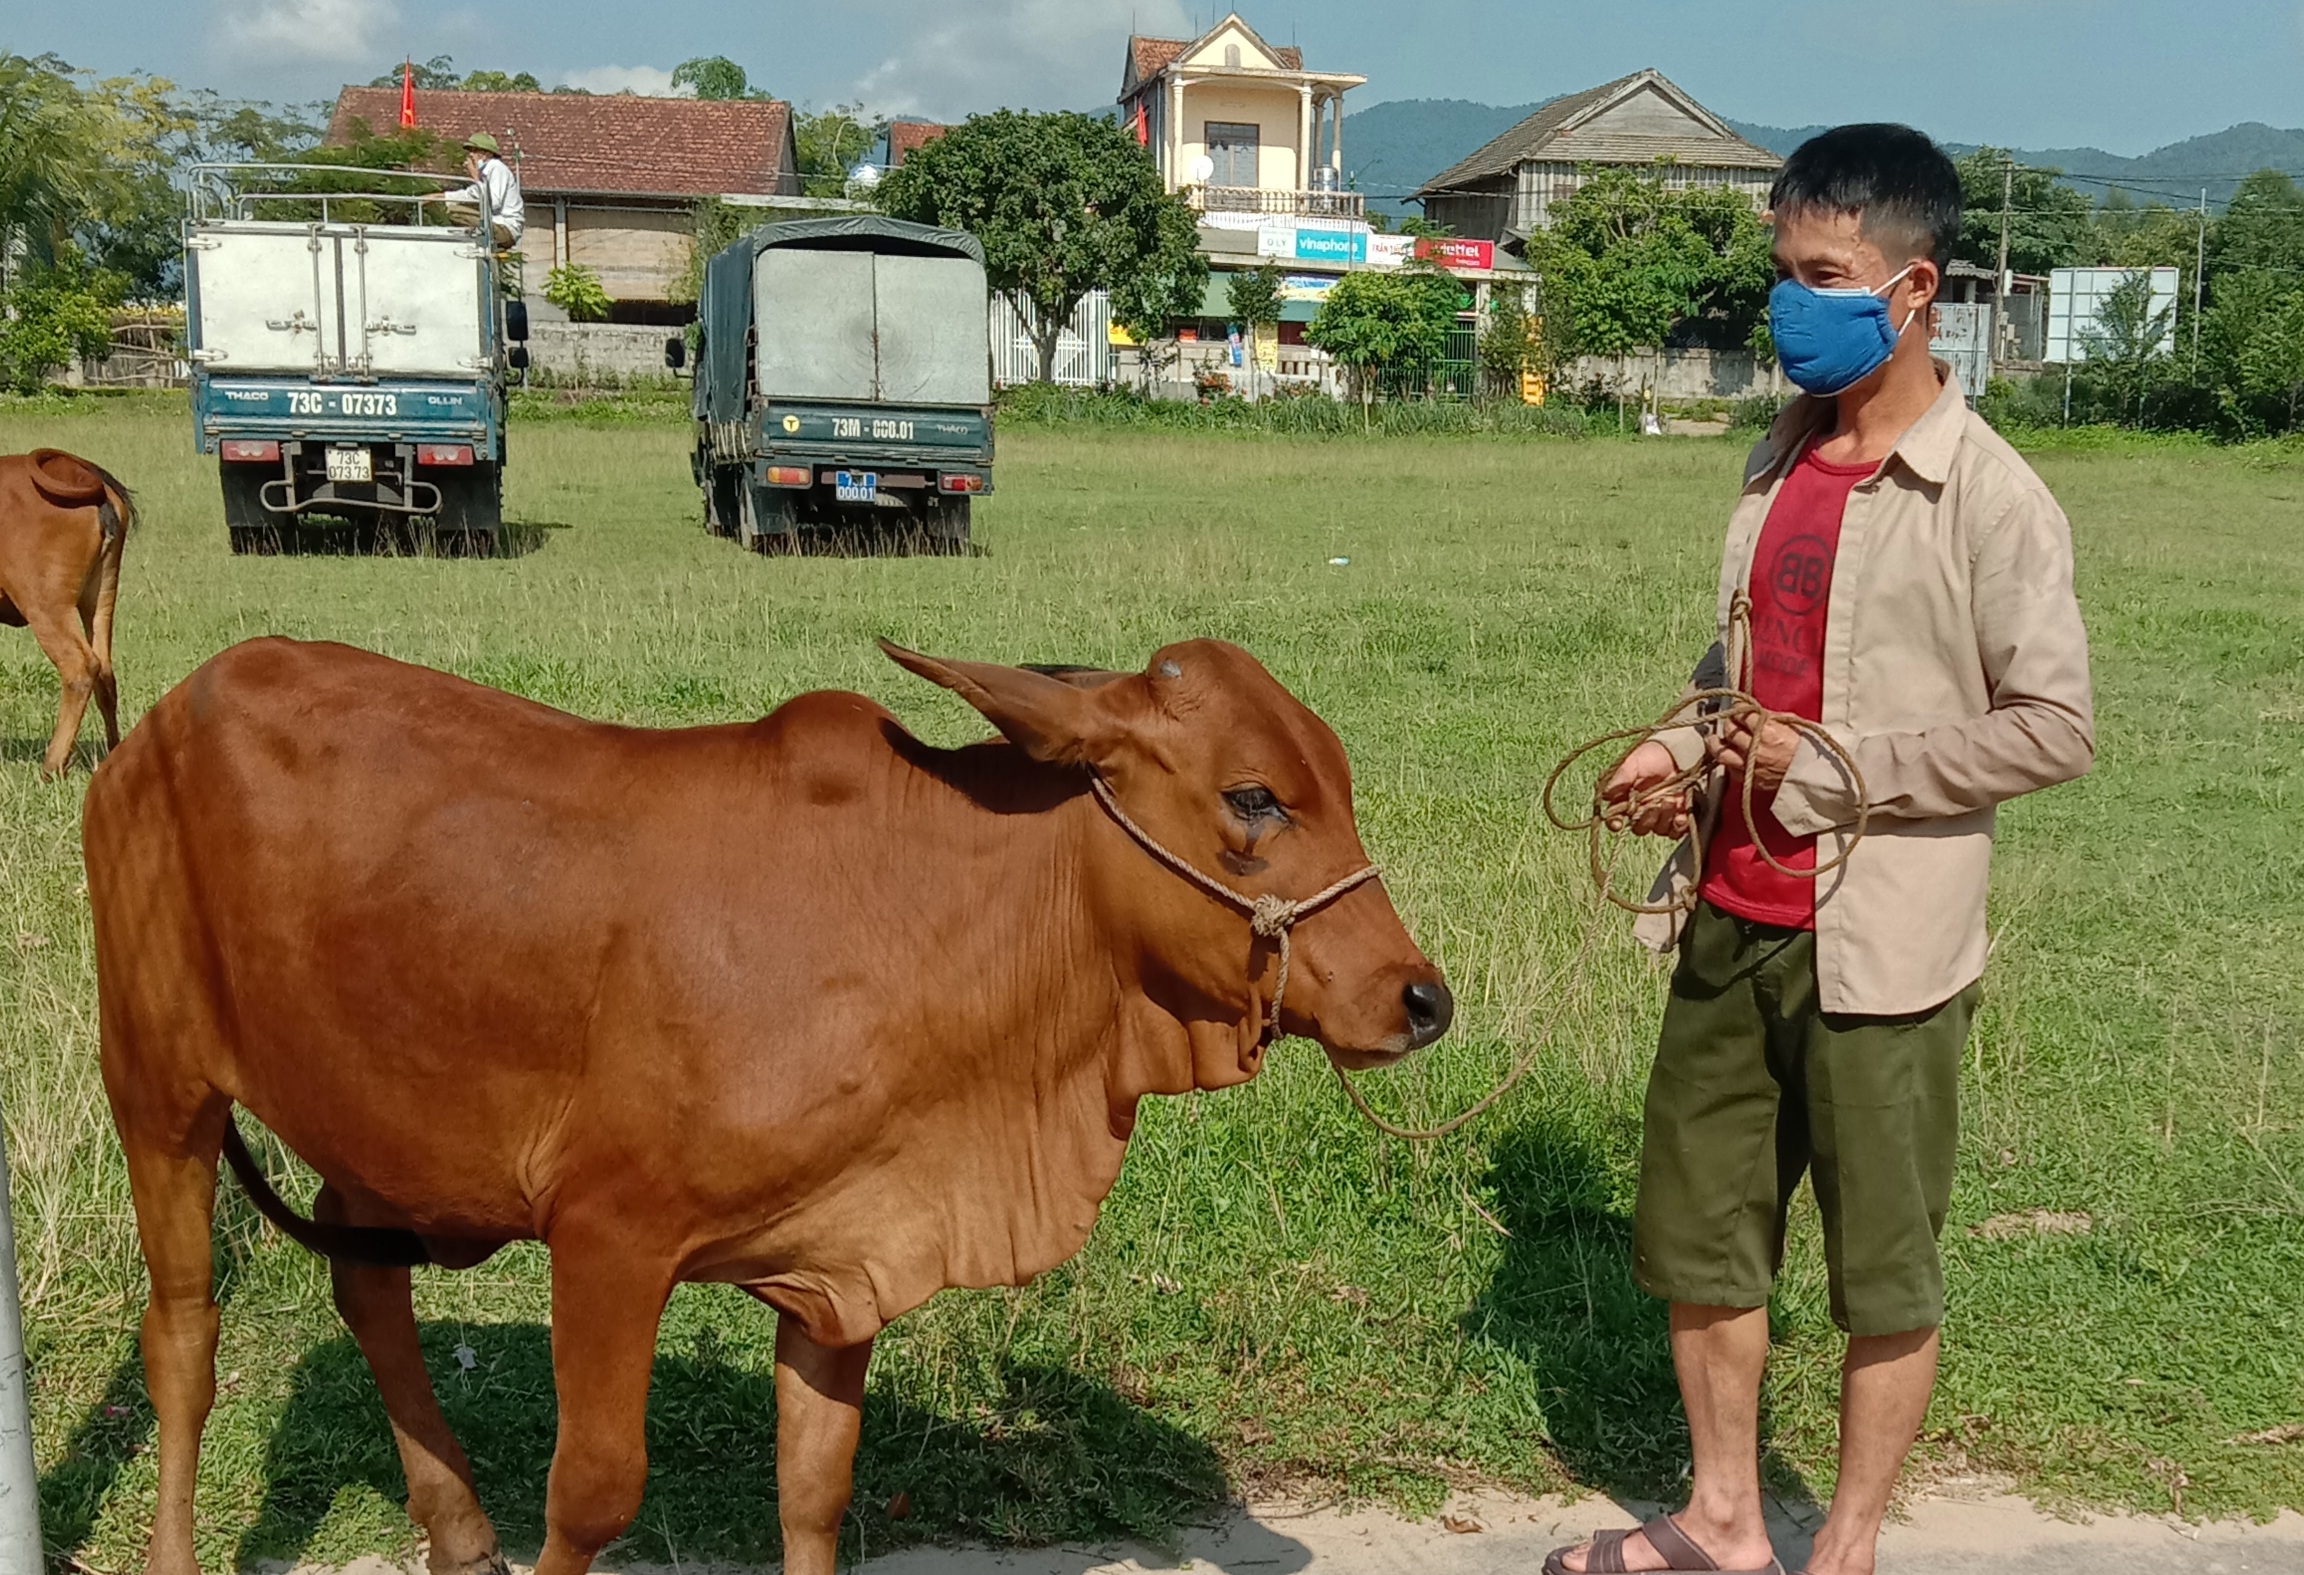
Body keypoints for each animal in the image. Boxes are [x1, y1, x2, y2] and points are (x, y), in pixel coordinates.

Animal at [94, 635, 1456, 1575]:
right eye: (1254, 799)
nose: (1421, 997)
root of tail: (168, 710)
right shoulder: (610, 1238)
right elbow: (594, 1490)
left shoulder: (846, 1259)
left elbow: (814, 1492)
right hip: (158, 1088)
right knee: (182, 1341)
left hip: (375, 1122)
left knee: (365, 1282)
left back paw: (460, 1529)